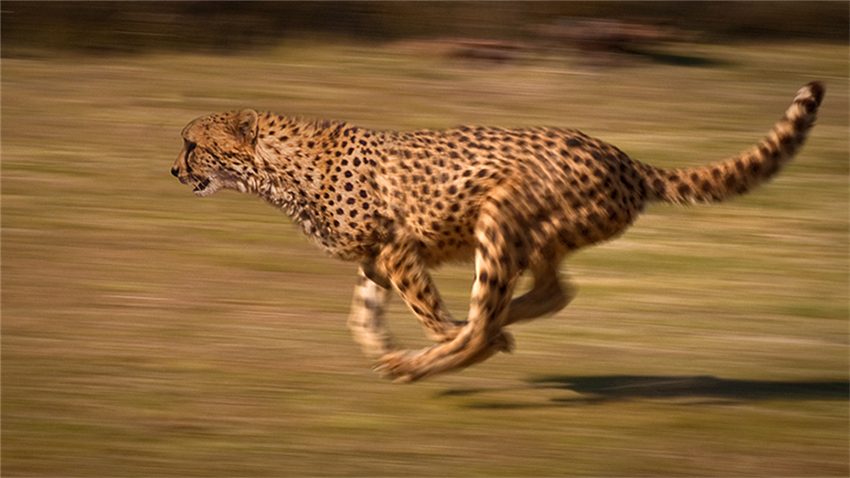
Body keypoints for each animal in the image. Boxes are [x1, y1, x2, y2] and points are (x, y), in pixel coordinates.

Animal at [171, 81, 820, 380]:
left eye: (191, 144)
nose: (174, 170)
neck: (279, 167)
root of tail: (623, 157)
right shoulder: (376, 259)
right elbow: (361, 317)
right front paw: (382, 347)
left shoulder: (398, 249)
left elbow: (427, 313)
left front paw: (424, 348)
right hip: (542, 237)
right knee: (554, 291)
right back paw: (495, 325)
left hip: (501, 213)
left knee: (489, 316)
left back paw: (446, 353)